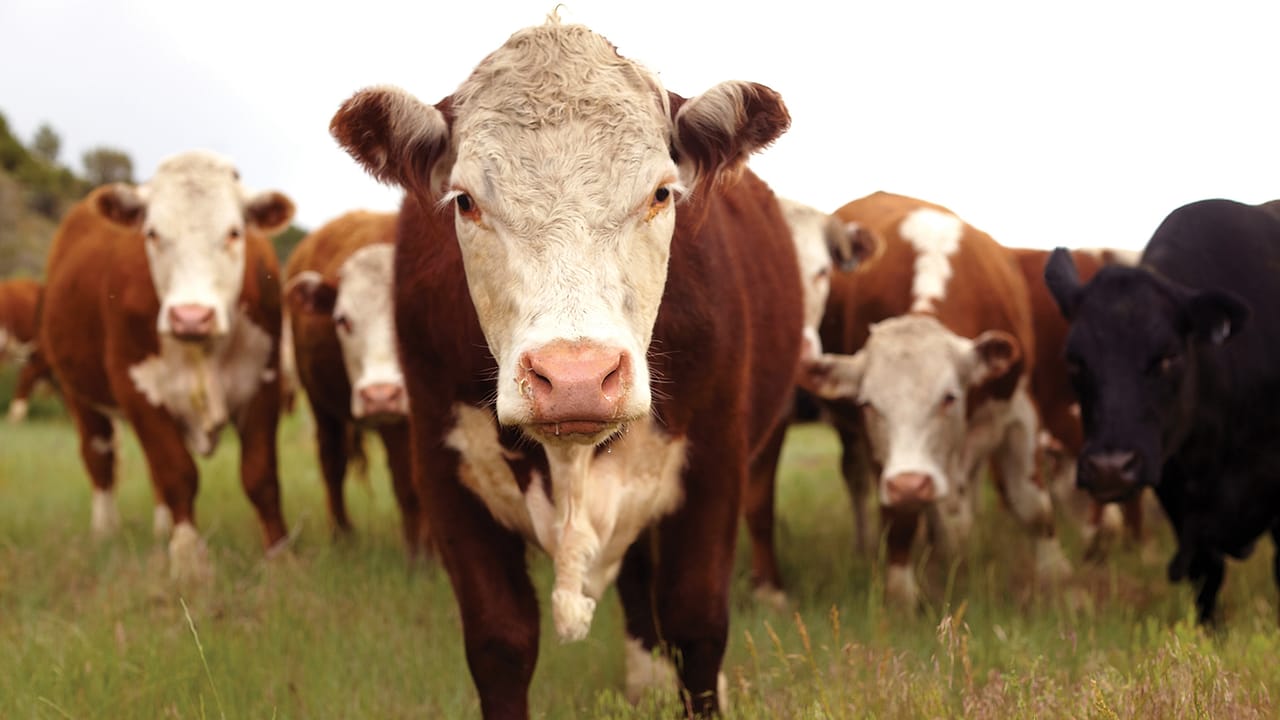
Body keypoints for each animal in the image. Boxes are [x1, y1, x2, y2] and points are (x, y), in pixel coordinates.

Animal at [39, 150, 295, 582]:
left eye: (234, 232)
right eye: (153, 234)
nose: (190, 317)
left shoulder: (263, 382)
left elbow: (260, 475)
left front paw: (279, 555)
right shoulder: (138, 390)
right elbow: (177, 472)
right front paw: (188, 559)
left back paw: (161, 528)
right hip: (79, 395)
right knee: (100, 456)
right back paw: (105, 531)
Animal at [283, 209, 425, 553]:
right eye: (342, 320)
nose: (380, 394)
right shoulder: (395, 422)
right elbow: (408, 485)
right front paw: (421, 553)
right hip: (322, 409)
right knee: (332, 464)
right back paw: (342, 534)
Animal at [329, 15, 798, 717]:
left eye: (662, 193)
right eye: (464, 201)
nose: (576, 378)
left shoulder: (717, 459)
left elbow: (696, 623)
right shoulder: (445, 474)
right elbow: (499, 639)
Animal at [799, 191, 1070, 608]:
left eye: (949, 397)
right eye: (868, 404)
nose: (911, 483)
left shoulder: (1019, 412)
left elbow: (1034, 507)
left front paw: (1059, 583)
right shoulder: (884, 457)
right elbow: (900, 519)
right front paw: (901, 597)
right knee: (859, 482)